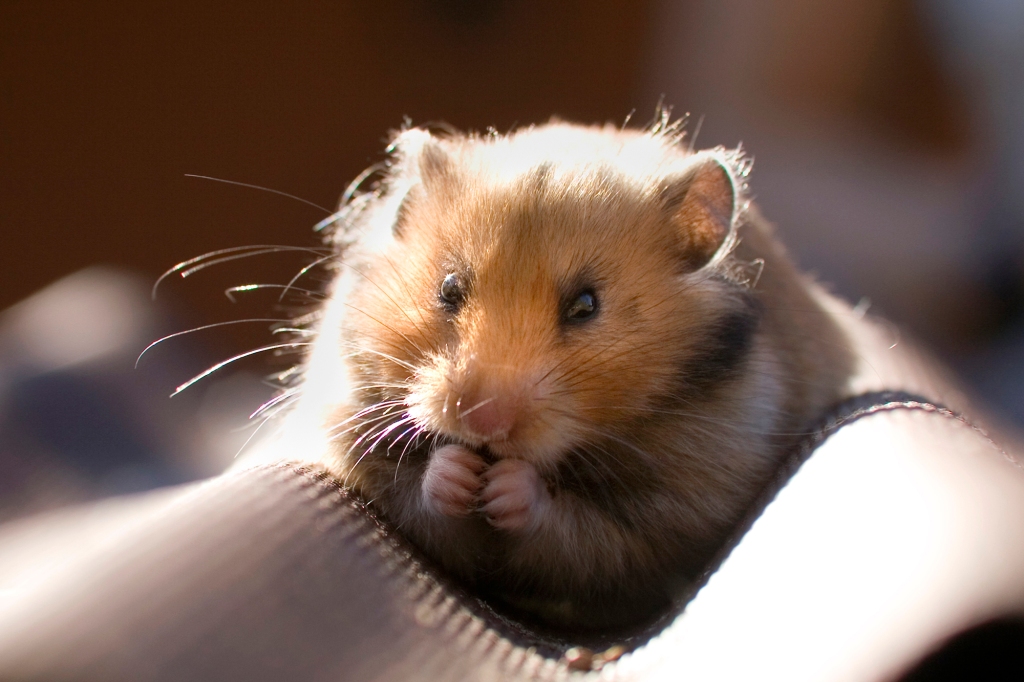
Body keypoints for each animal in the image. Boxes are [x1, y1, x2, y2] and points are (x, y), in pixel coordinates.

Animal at [280, 116, 856, 626]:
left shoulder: (680, 510)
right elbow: (415, 496)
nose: (482, 422)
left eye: (586, 305)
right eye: (448, 288)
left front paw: (505, 487)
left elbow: (580, 538)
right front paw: (458, 472)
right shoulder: (348, 425)